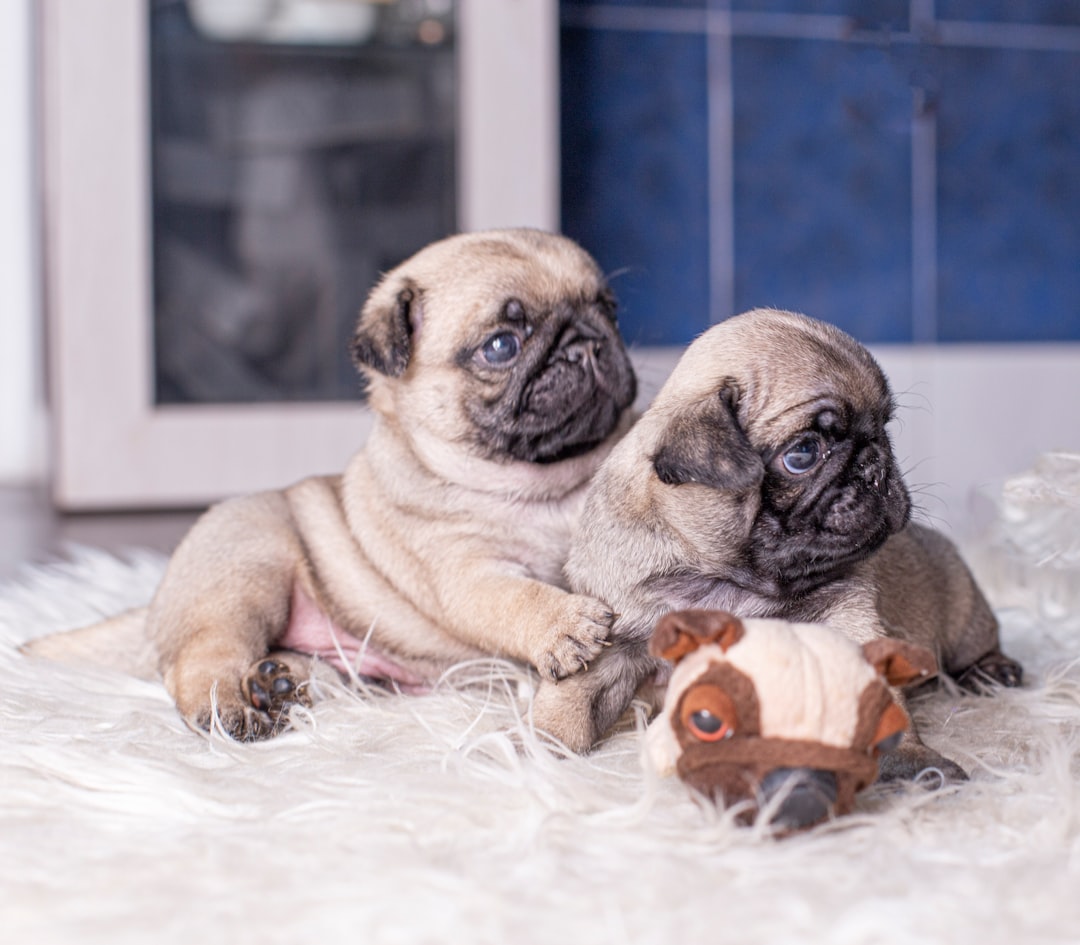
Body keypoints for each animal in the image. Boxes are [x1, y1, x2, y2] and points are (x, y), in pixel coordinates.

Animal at [25, 226, 635, 738]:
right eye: (502, 345)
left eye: (611, 311)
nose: (587, 343)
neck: (545, 484)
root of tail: (156, 606)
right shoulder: (465, 574)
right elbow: (516, 597)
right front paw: (564, 625)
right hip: (246, 574)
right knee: (198, 660)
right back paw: (230, 707)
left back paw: (275, 681)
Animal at [535, 306, 1023, 781]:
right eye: (803, 454)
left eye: (885, 428)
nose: (875, 464)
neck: (730, 579)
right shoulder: (617, 642)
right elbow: (568, 704)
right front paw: (538, 754)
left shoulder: (846, 621)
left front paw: (913, 762)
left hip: (964, 613)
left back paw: (993, 670)